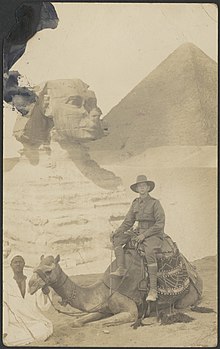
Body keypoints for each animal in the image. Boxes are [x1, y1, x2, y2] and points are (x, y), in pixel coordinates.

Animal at [28, 237, 204, 326]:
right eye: (35, 267)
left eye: (48, 271)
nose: (30, 285)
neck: (103, 290)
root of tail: (194, 272)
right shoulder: (102, 307)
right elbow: (77, 322)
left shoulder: (130, 311)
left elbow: (99, 324)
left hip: (186, 298)